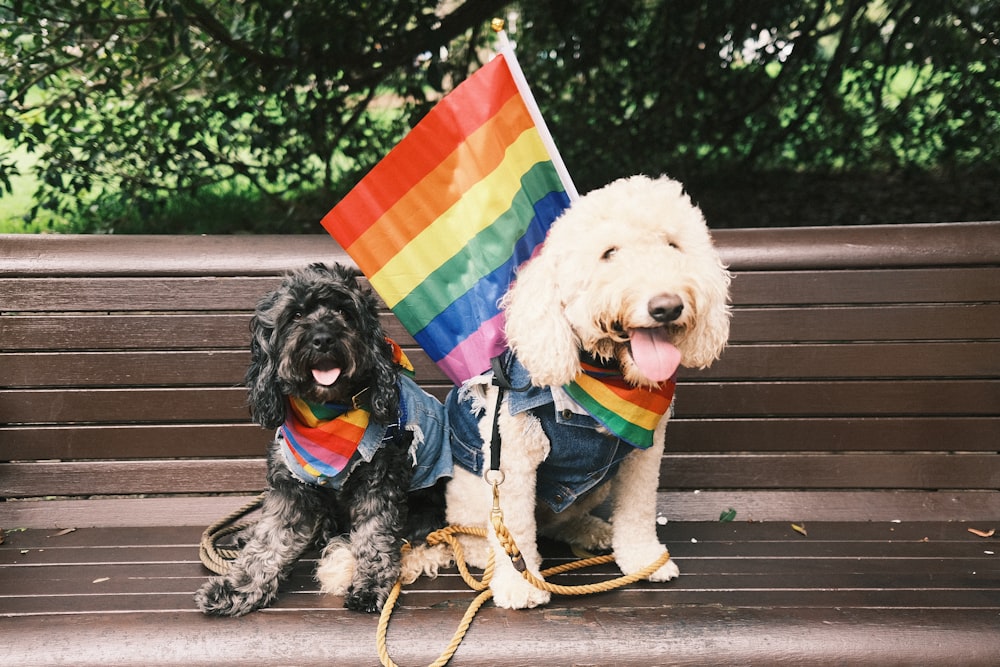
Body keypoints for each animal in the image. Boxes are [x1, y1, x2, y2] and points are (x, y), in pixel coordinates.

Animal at [195, 264, 446, 620]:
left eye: (344, 312)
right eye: (296, 314)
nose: (323, 338)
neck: (326, 415)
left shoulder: (379, 484)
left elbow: (374, 539)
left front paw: (370, 586)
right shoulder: (290, 488)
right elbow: (267, 543)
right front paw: (237, 589)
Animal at [442, 174, 732, 612]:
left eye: (673, 246)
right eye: (608, 253)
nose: (666, 306)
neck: (605, 378)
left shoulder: (643, 455)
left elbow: (638, 511)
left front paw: (643, 560)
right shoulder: (512, 458)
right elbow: (514, 526)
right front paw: (519, 585)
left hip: (598, 487)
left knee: (556, 522)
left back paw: (590, 530)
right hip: (474, 485)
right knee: (472, 528)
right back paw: (483, 554)